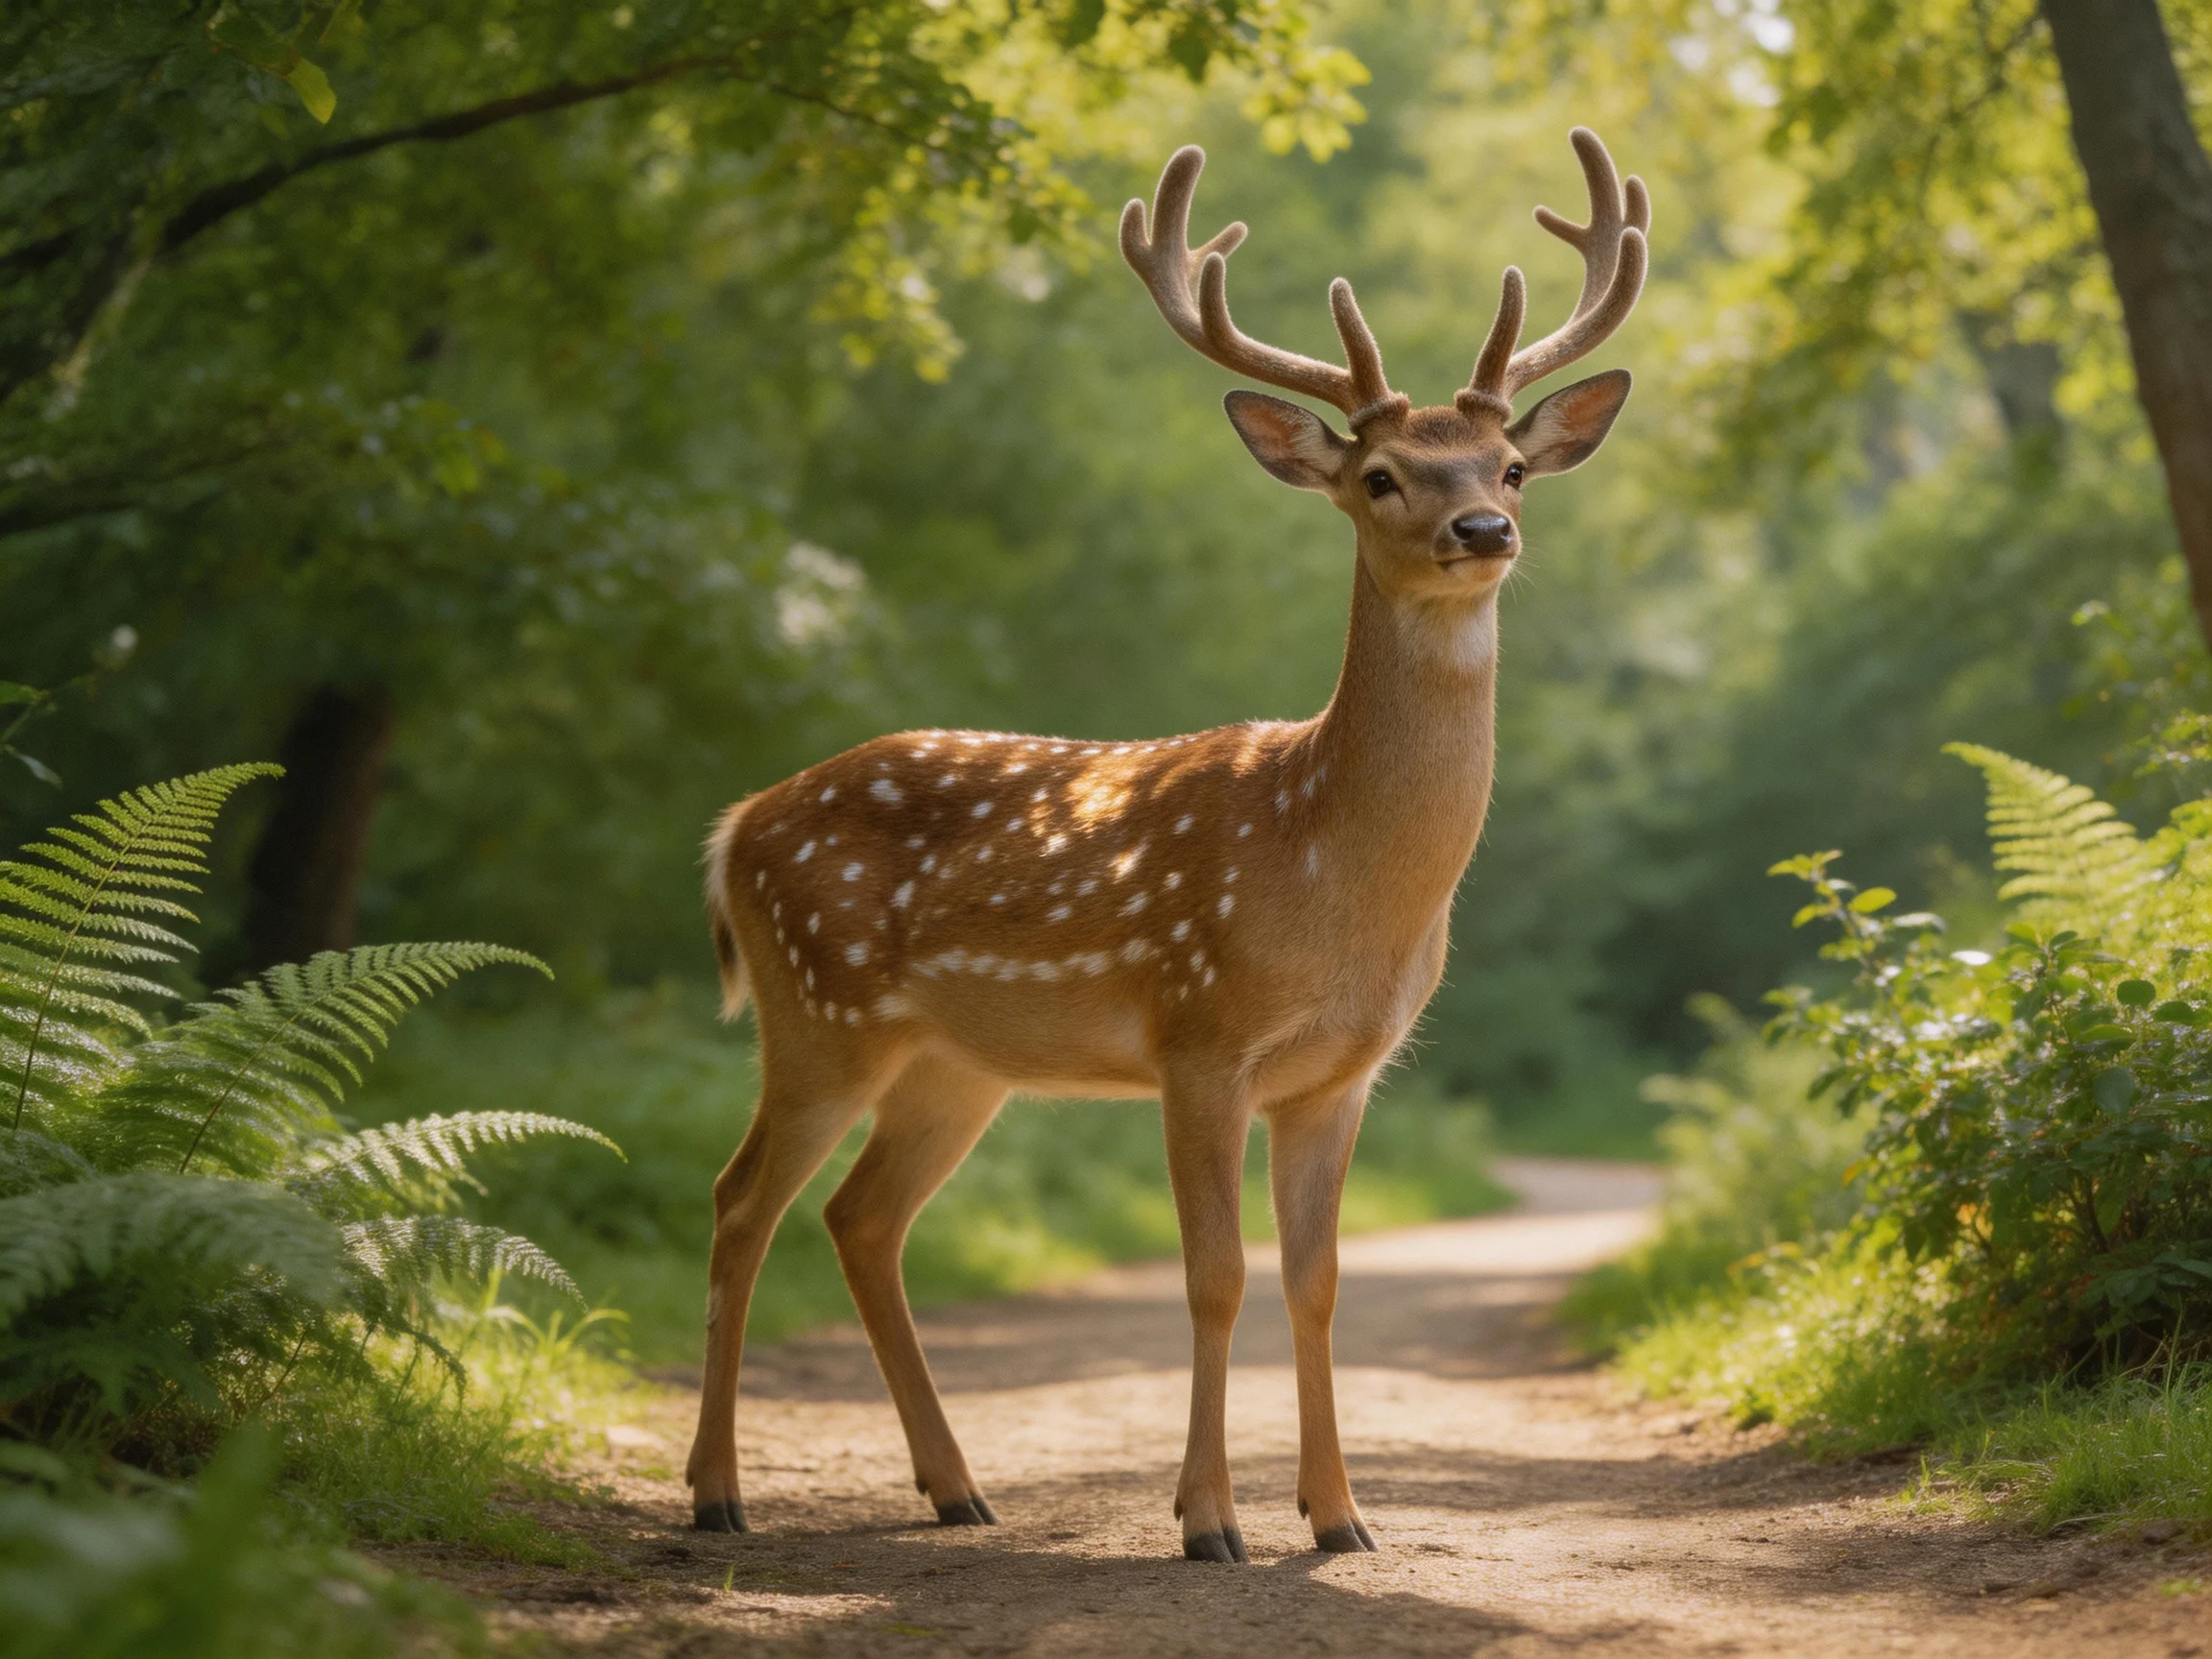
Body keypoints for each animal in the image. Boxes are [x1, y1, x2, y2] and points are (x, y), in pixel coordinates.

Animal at [685, 127, 1648, 1562]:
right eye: (1380, 477)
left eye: (1510, 467)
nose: (1483, 531)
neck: (1334, 871)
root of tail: (736, 825)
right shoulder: (1199, 1035)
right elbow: (1216, 1276)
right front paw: (1208, 1520)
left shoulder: (1341, 1073)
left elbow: (1316, 1279)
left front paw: (1341, 1517)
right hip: (817, 1011)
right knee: (741, 1201)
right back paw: (717, 1493)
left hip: (951, 1060)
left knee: (863, 1217)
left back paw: (956, 1488)